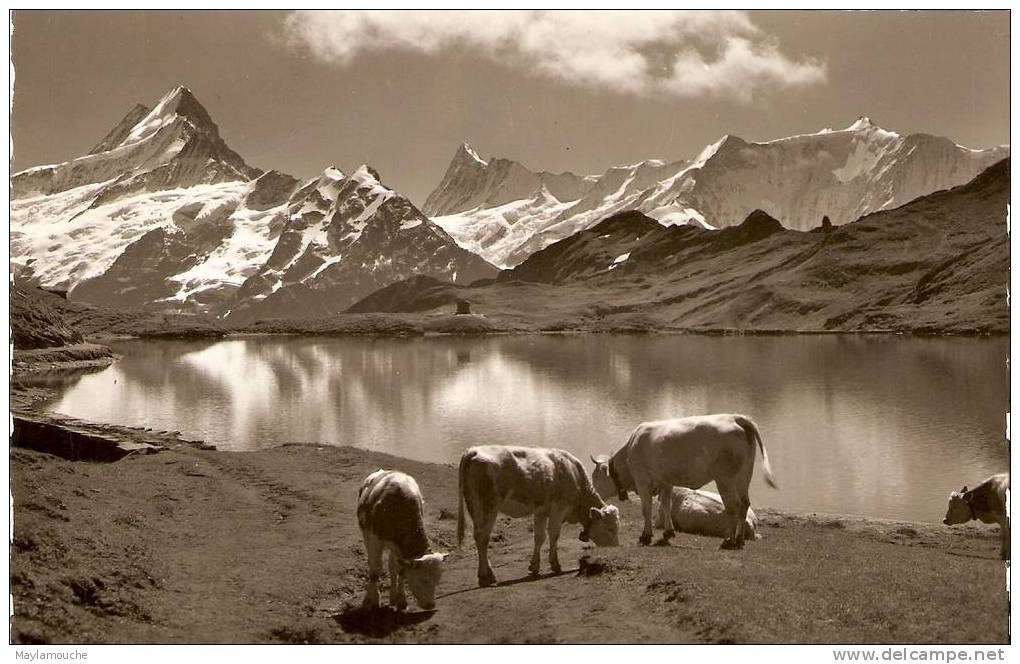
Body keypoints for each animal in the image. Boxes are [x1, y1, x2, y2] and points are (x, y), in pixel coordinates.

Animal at [357, 469, 448, 611]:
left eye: (438, 579)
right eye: (423, 579)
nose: (431, 605)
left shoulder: (400, 548)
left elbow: (401, 570)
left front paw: (401, 600)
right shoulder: (375, 540)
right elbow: (376, 570)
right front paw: (373, 601)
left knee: (392, 566)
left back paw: (393, 598)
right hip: (366, 534)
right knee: (372, 564)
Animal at [456, 446, 616, 587]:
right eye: (610, 528)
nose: (615, 548)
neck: (574, 473)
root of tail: (474, 450)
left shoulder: (541, 512)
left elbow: (539, 537)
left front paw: (534, 567)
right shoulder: (558, 509)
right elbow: (554, 535)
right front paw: (555, 565)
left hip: (474, 508)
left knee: (478, 537)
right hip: (488, 507)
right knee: (483, 538)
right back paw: (486, 577)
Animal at [591, 416, 771, 550]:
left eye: (595, 477)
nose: (593, 493)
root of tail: (735, 417)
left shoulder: (642, 482)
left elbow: (646, 510)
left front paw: (646, 536)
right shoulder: (666, 482)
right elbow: (666, 505)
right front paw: (668, 532)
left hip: (725, 478)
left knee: (733, 505)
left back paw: (729, 541)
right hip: (744, 475)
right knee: (744, 503)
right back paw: (739, 540)